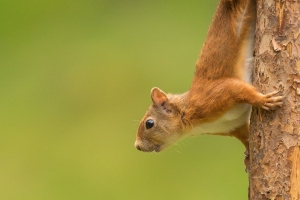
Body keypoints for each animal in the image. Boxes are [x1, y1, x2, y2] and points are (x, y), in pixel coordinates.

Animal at [135, 0, 282, 162]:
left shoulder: (212, 96)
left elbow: (237, 88)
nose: (137, 146)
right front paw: (248, 157)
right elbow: (245, 137)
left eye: (149, 123)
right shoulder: (234, 126)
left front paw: (263, 101)